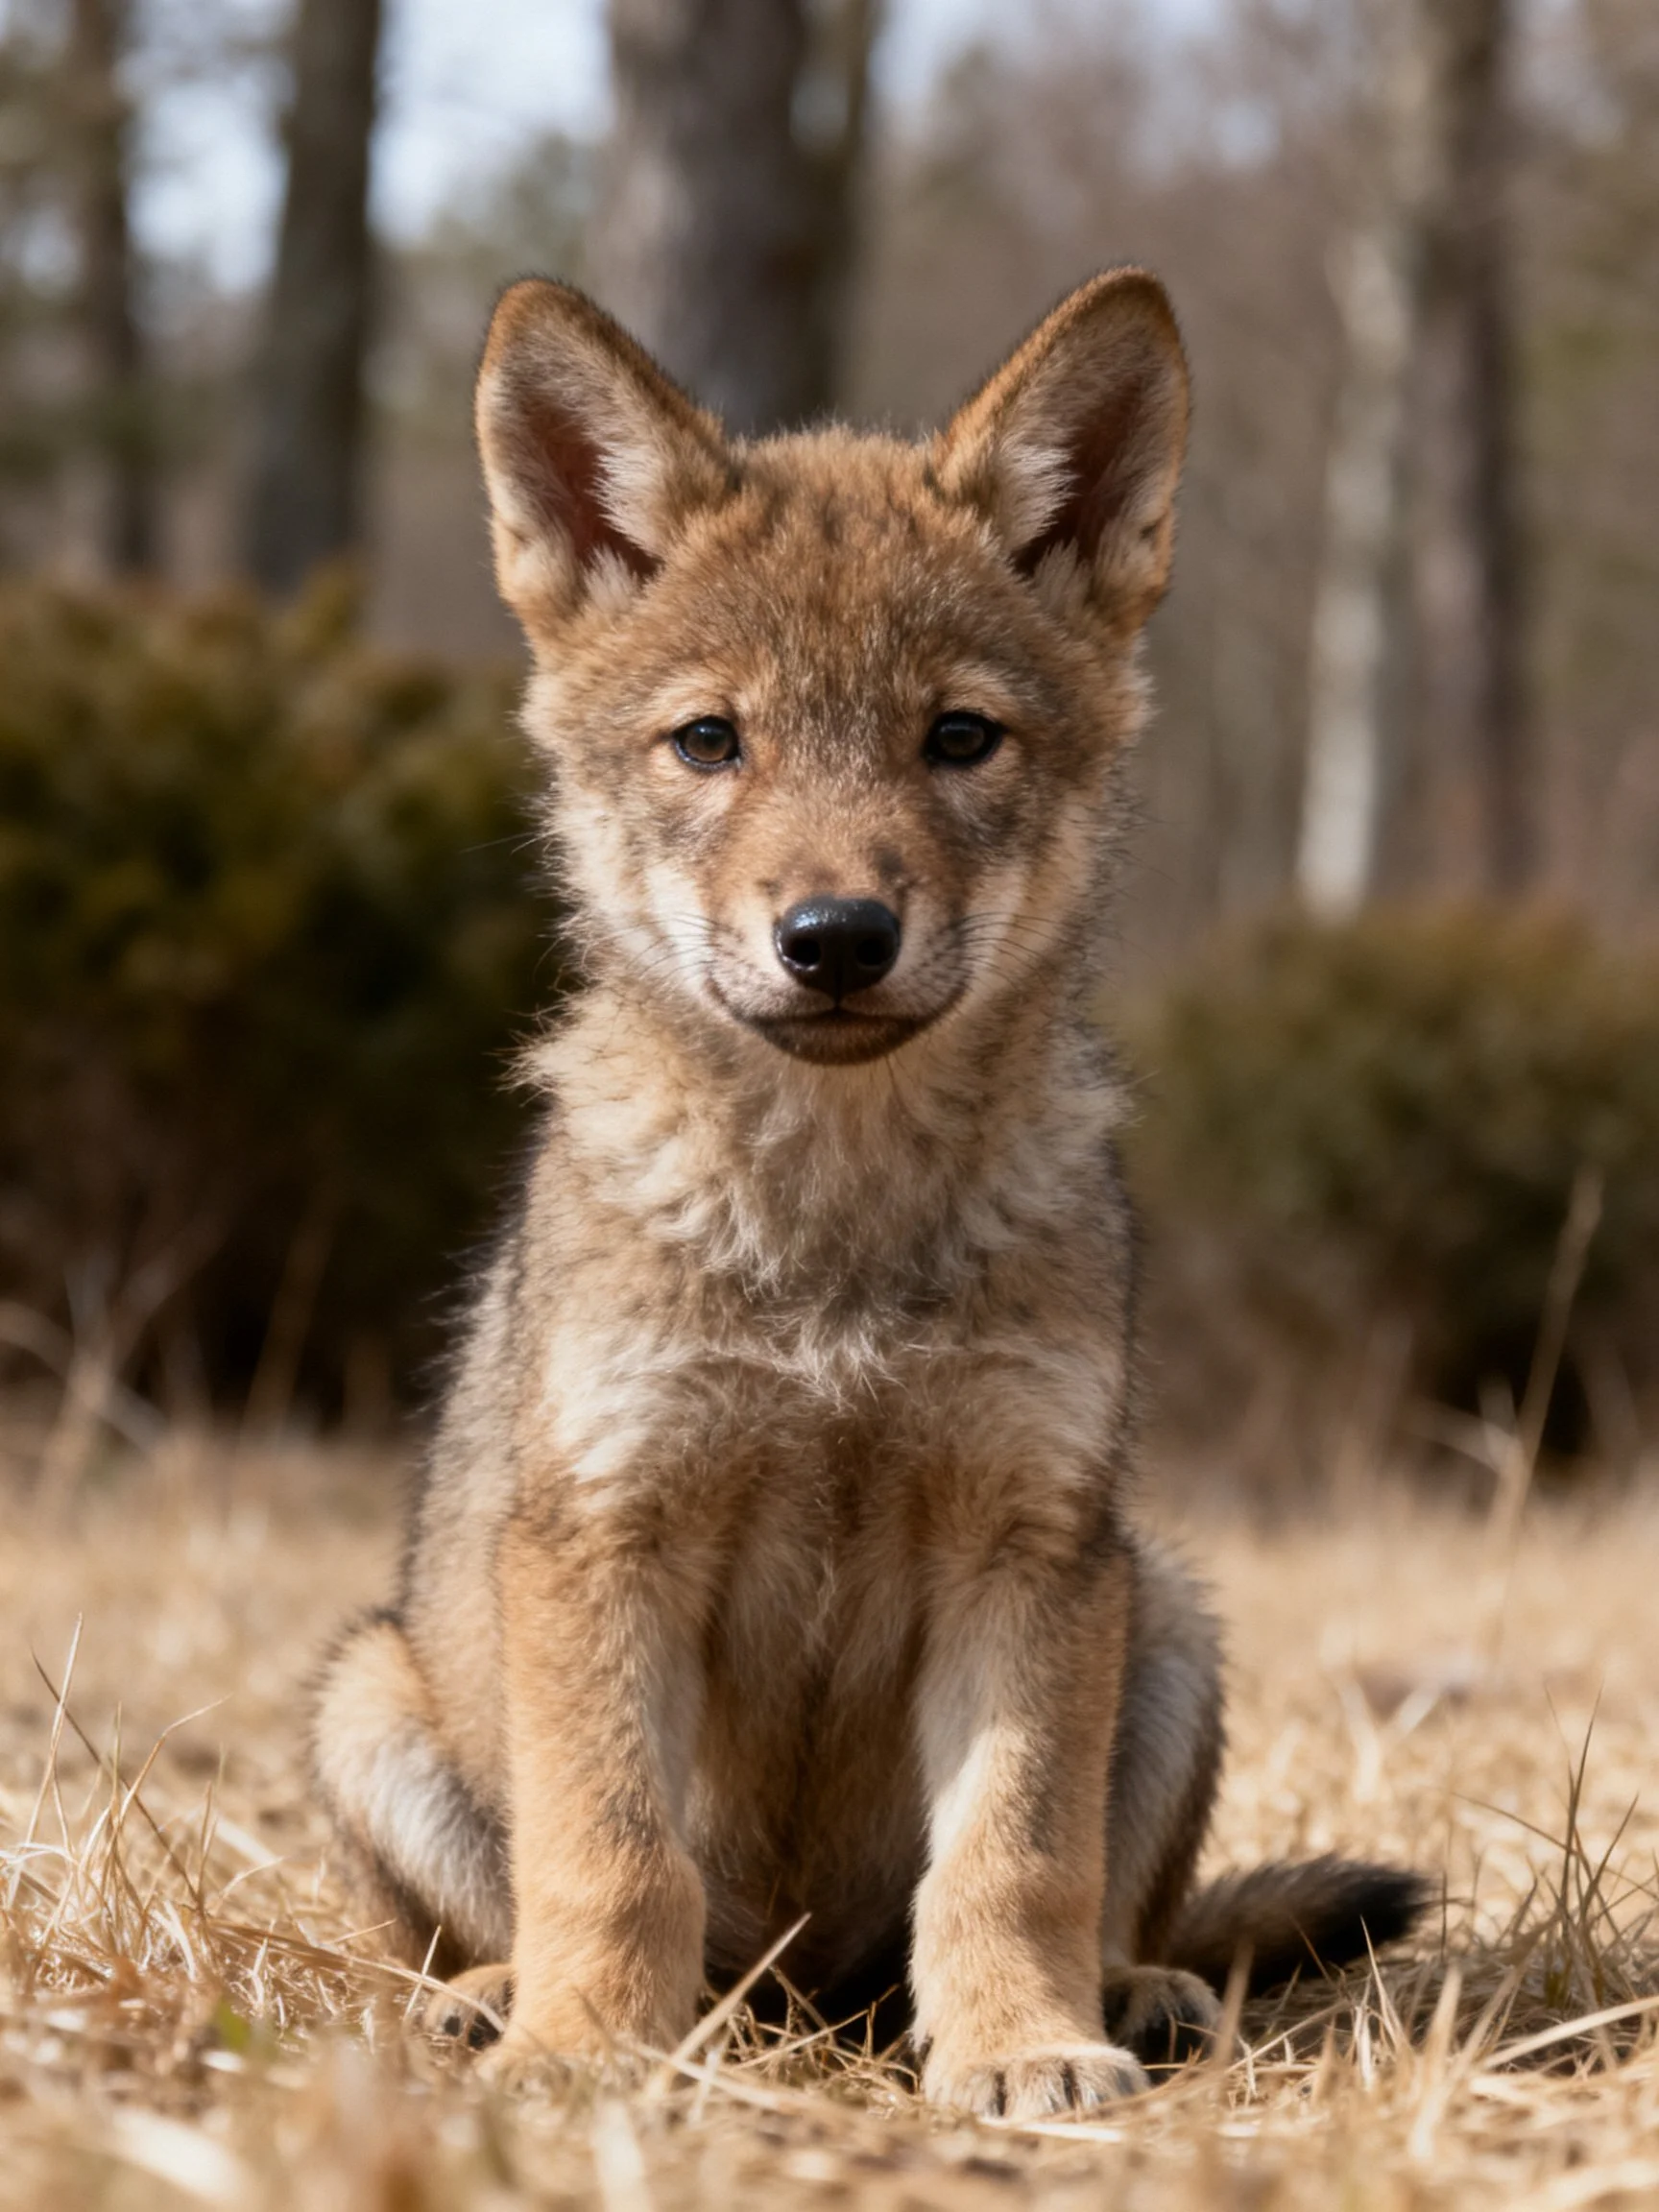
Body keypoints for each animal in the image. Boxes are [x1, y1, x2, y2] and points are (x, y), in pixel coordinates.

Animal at [312, 269, 1425, 2117]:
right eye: (710, 740)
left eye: (957, 738)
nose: (834, 937)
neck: (832, 1238)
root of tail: (801, 1994)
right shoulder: (607, 1537)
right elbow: (610, 1851)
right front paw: (585, 2049)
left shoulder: (1027, 1542)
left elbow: (1015, 1857)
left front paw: (1024, 2047)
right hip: (372, 1693)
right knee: (507, 1913)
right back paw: (498, 1999)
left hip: (1166, 1617)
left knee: (1120, 1907)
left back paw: (1132, 1996)